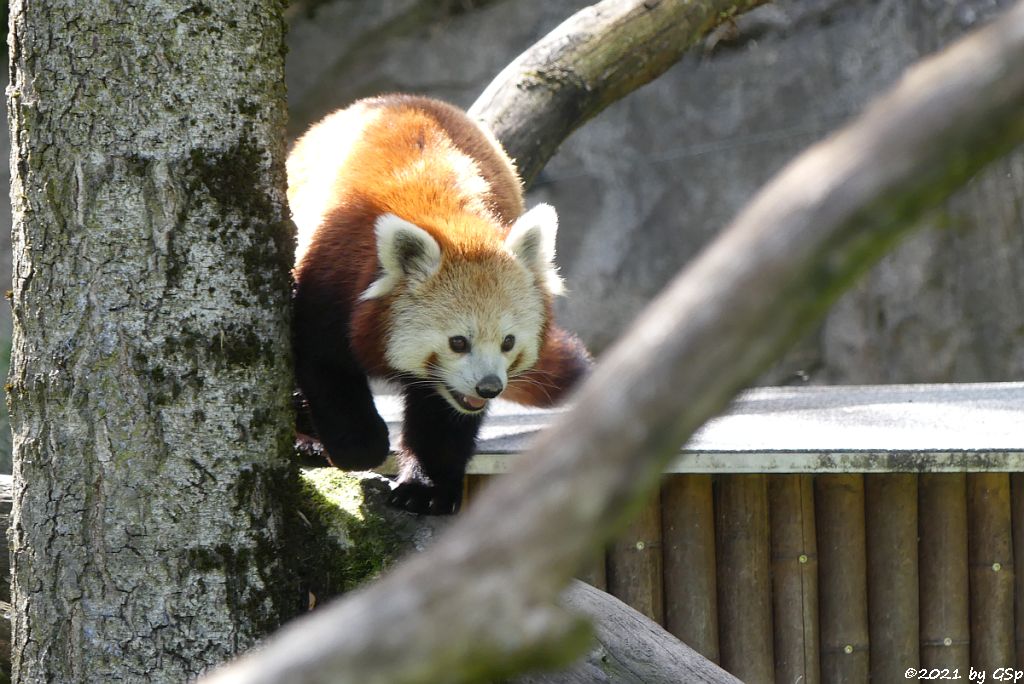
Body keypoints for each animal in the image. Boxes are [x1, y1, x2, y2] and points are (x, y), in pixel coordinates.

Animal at [288, 94, 593, 511]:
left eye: (508, 342)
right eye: (458, 342)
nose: (489, 387)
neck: (449, 221)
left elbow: (443, 414)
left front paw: (426, 488)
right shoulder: (329, 279)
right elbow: (325, 366)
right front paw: (361, 446)